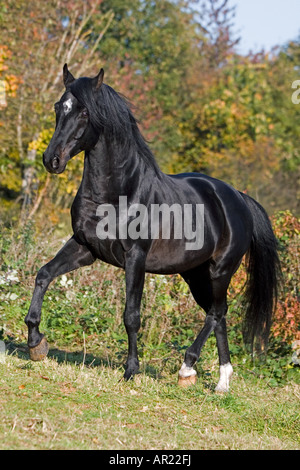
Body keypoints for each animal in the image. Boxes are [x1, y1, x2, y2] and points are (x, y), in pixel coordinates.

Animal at [24, 64, 280, 392]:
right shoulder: (84, 248)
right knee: (218, 314)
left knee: (215, 313)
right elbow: (44, 275)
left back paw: (187, 368)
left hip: (220, 271)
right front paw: (36, 344)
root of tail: (239, 198)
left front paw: (130, 370)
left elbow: (131, 315)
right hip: (195, 274)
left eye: (84, 112)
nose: (51, 160)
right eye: (59, 107)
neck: (118, 194)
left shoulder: (135, 258)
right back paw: (221, 382)